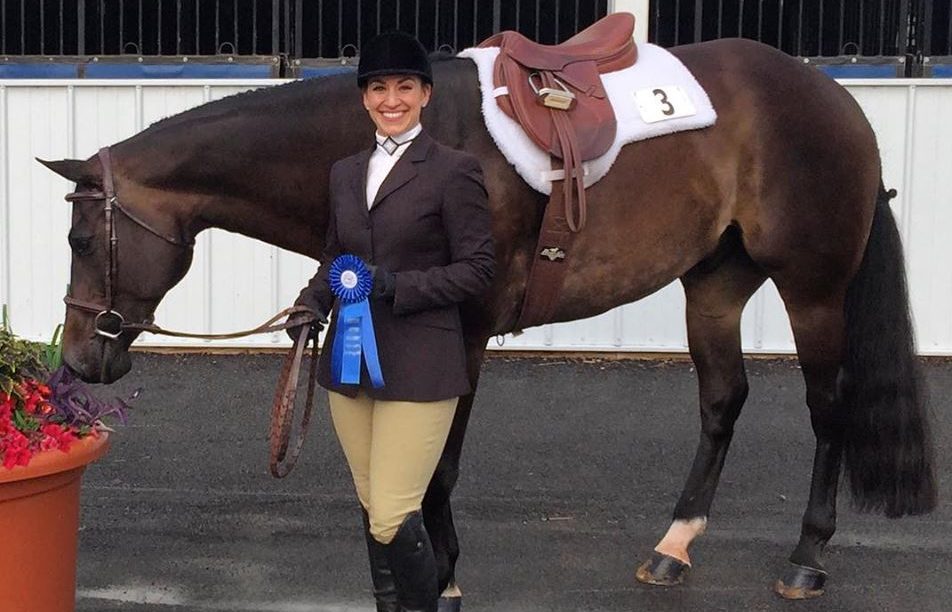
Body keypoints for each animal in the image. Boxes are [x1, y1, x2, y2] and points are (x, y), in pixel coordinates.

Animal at [41, 39, 932, 604]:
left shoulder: (462, 334)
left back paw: (807, 558)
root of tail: (834, 100)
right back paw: (673, 547)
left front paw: (443, 577)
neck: (415, 143)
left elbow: (435, 468)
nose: (82, 358)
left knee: (828, 410)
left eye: (82, 239)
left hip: (812, 288)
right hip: (714, 285)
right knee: (723, 403)